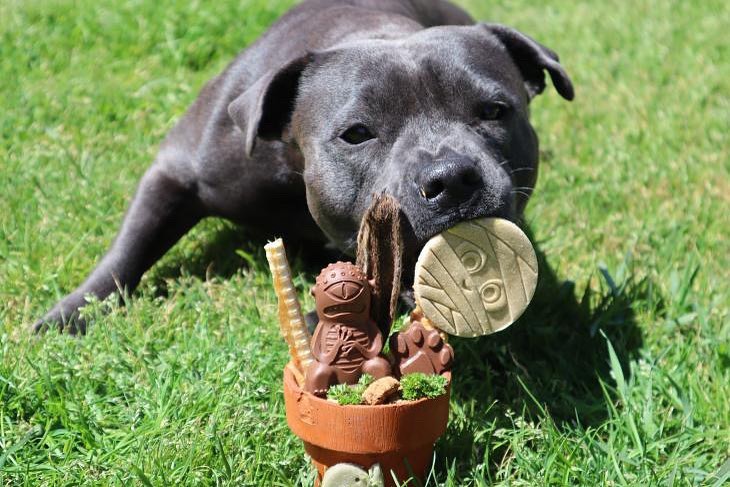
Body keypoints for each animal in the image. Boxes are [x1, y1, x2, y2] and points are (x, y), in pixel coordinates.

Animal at [34, 0, 572, 334]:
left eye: (495, 111)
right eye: (356, 133)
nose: (452, 179)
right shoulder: (176, 170)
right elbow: (129, 249)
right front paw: (70, 313)